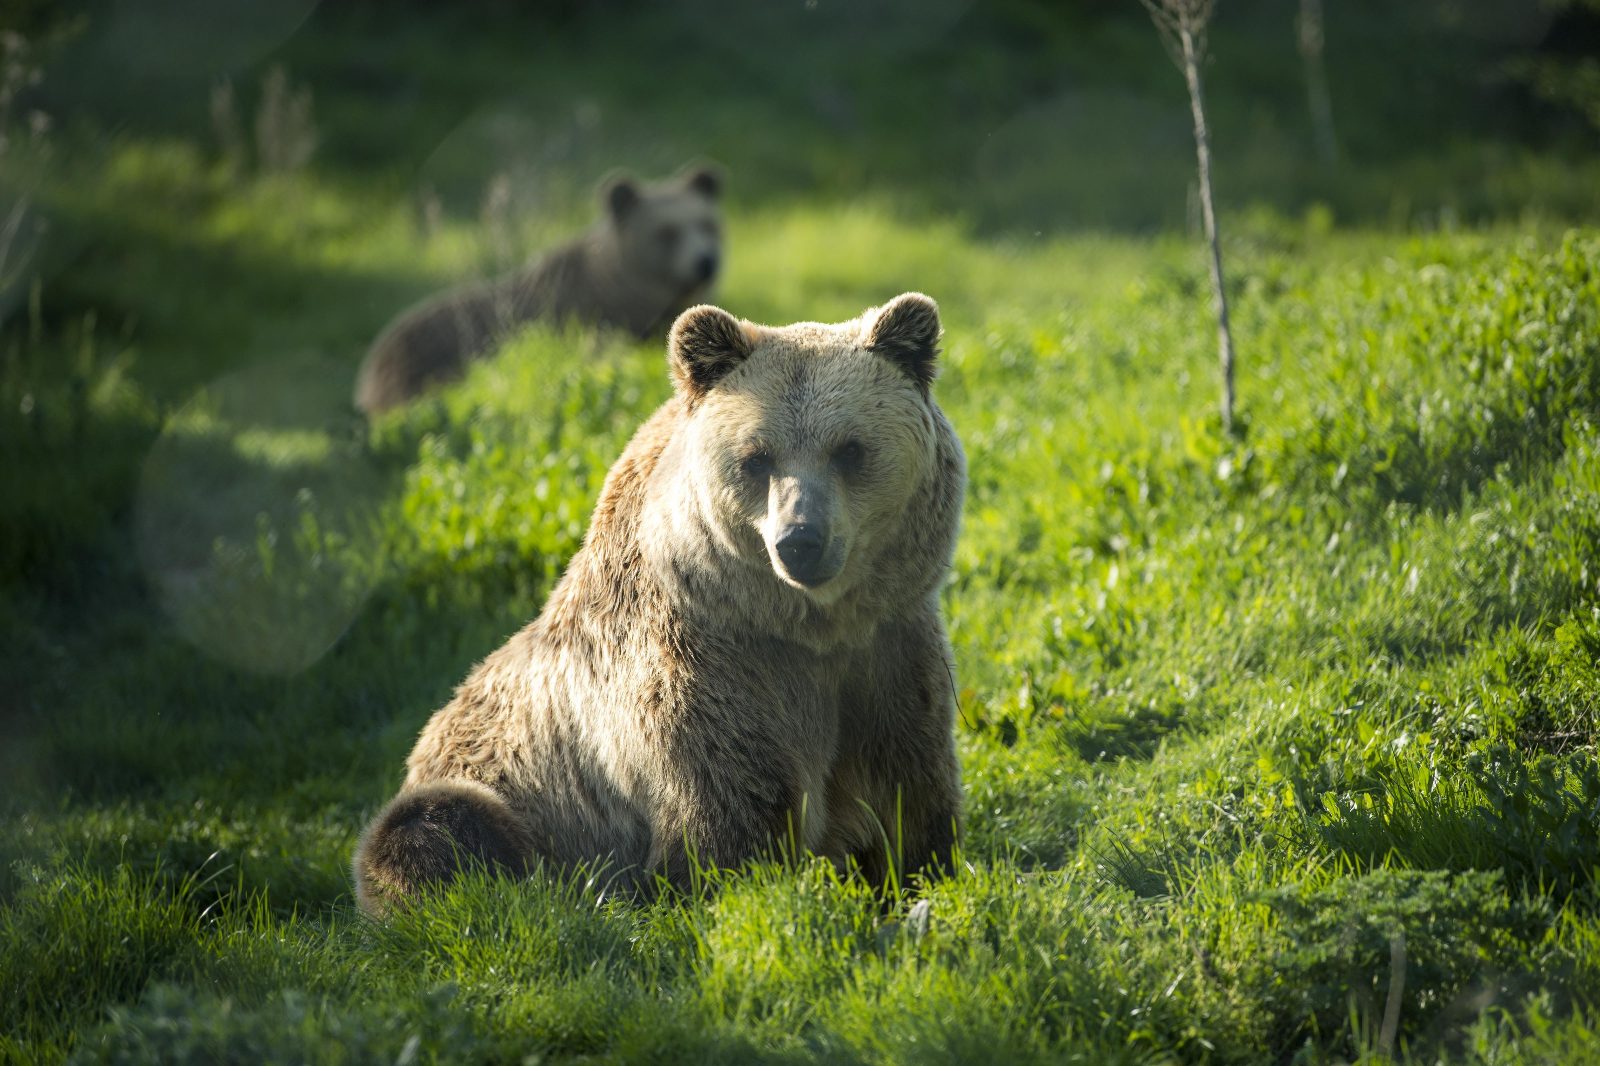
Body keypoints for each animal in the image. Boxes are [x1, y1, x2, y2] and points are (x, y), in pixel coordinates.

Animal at [353, 292, 966, 915]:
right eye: (757, 457)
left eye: (849, 450)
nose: (800, 539)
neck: (808, 629)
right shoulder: (710, 673)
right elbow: (733, 814)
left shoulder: (888, 654)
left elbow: (908, 792)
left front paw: (920, 880)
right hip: (494, 789)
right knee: (432, 828)